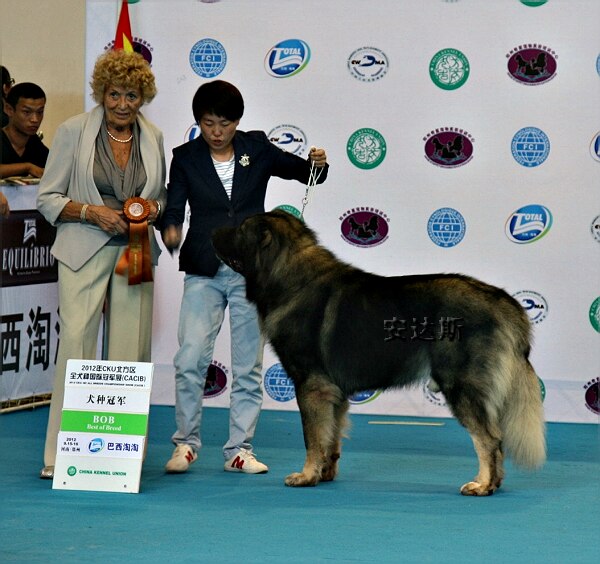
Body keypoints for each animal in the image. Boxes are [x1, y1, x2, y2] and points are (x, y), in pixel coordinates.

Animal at [211, 210, 546, 495]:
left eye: (240, 229)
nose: (213, 232)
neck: (288, 276)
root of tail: (503, 301)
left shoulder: (311, 385)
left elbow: (312, 437)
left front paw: (306, 476)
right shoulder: (334, 392)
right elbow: (330, 437)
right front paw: (324, 473)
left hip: (461, 386)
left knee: (489, 439)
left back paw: (483, 484)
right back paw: (493, 483)